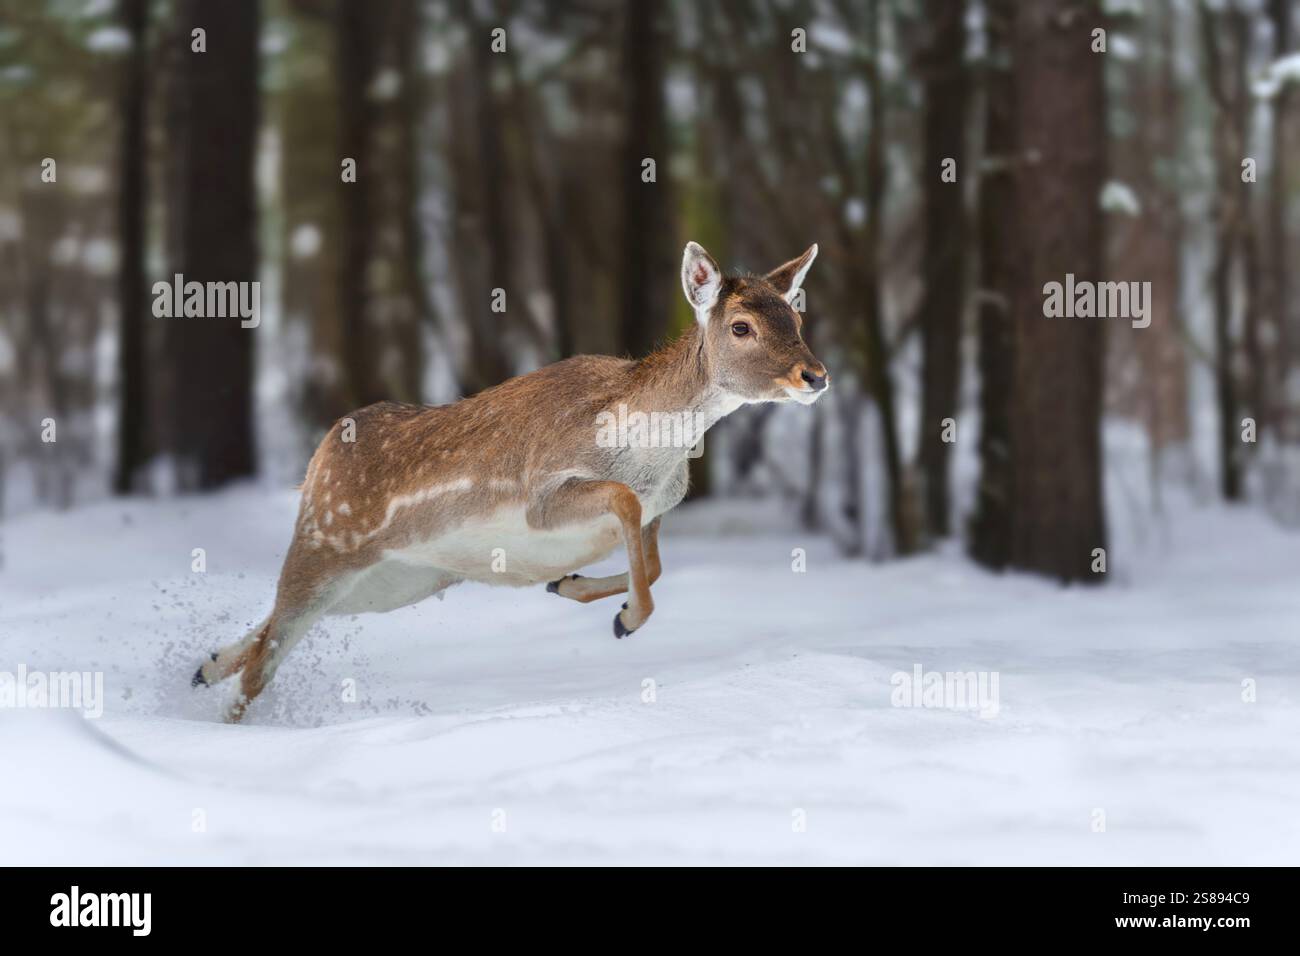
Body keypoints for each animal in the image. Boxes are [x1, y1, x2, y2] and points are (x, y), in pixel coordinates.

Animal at [192, 241, 829, 722]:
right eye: (742, 326)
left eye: (797, 317)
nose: (816, 374)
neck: (643, 448)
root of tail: (317, 460)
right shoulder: (541, 496)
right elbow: (623, 507)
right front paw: (626, 618)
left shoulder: (662, 507)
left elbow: (653, 563)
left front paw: (570, 586)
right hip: (325, 543)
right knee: (264, 663)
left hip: (397, 581)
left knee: (274, 630)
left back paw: (205, 665)